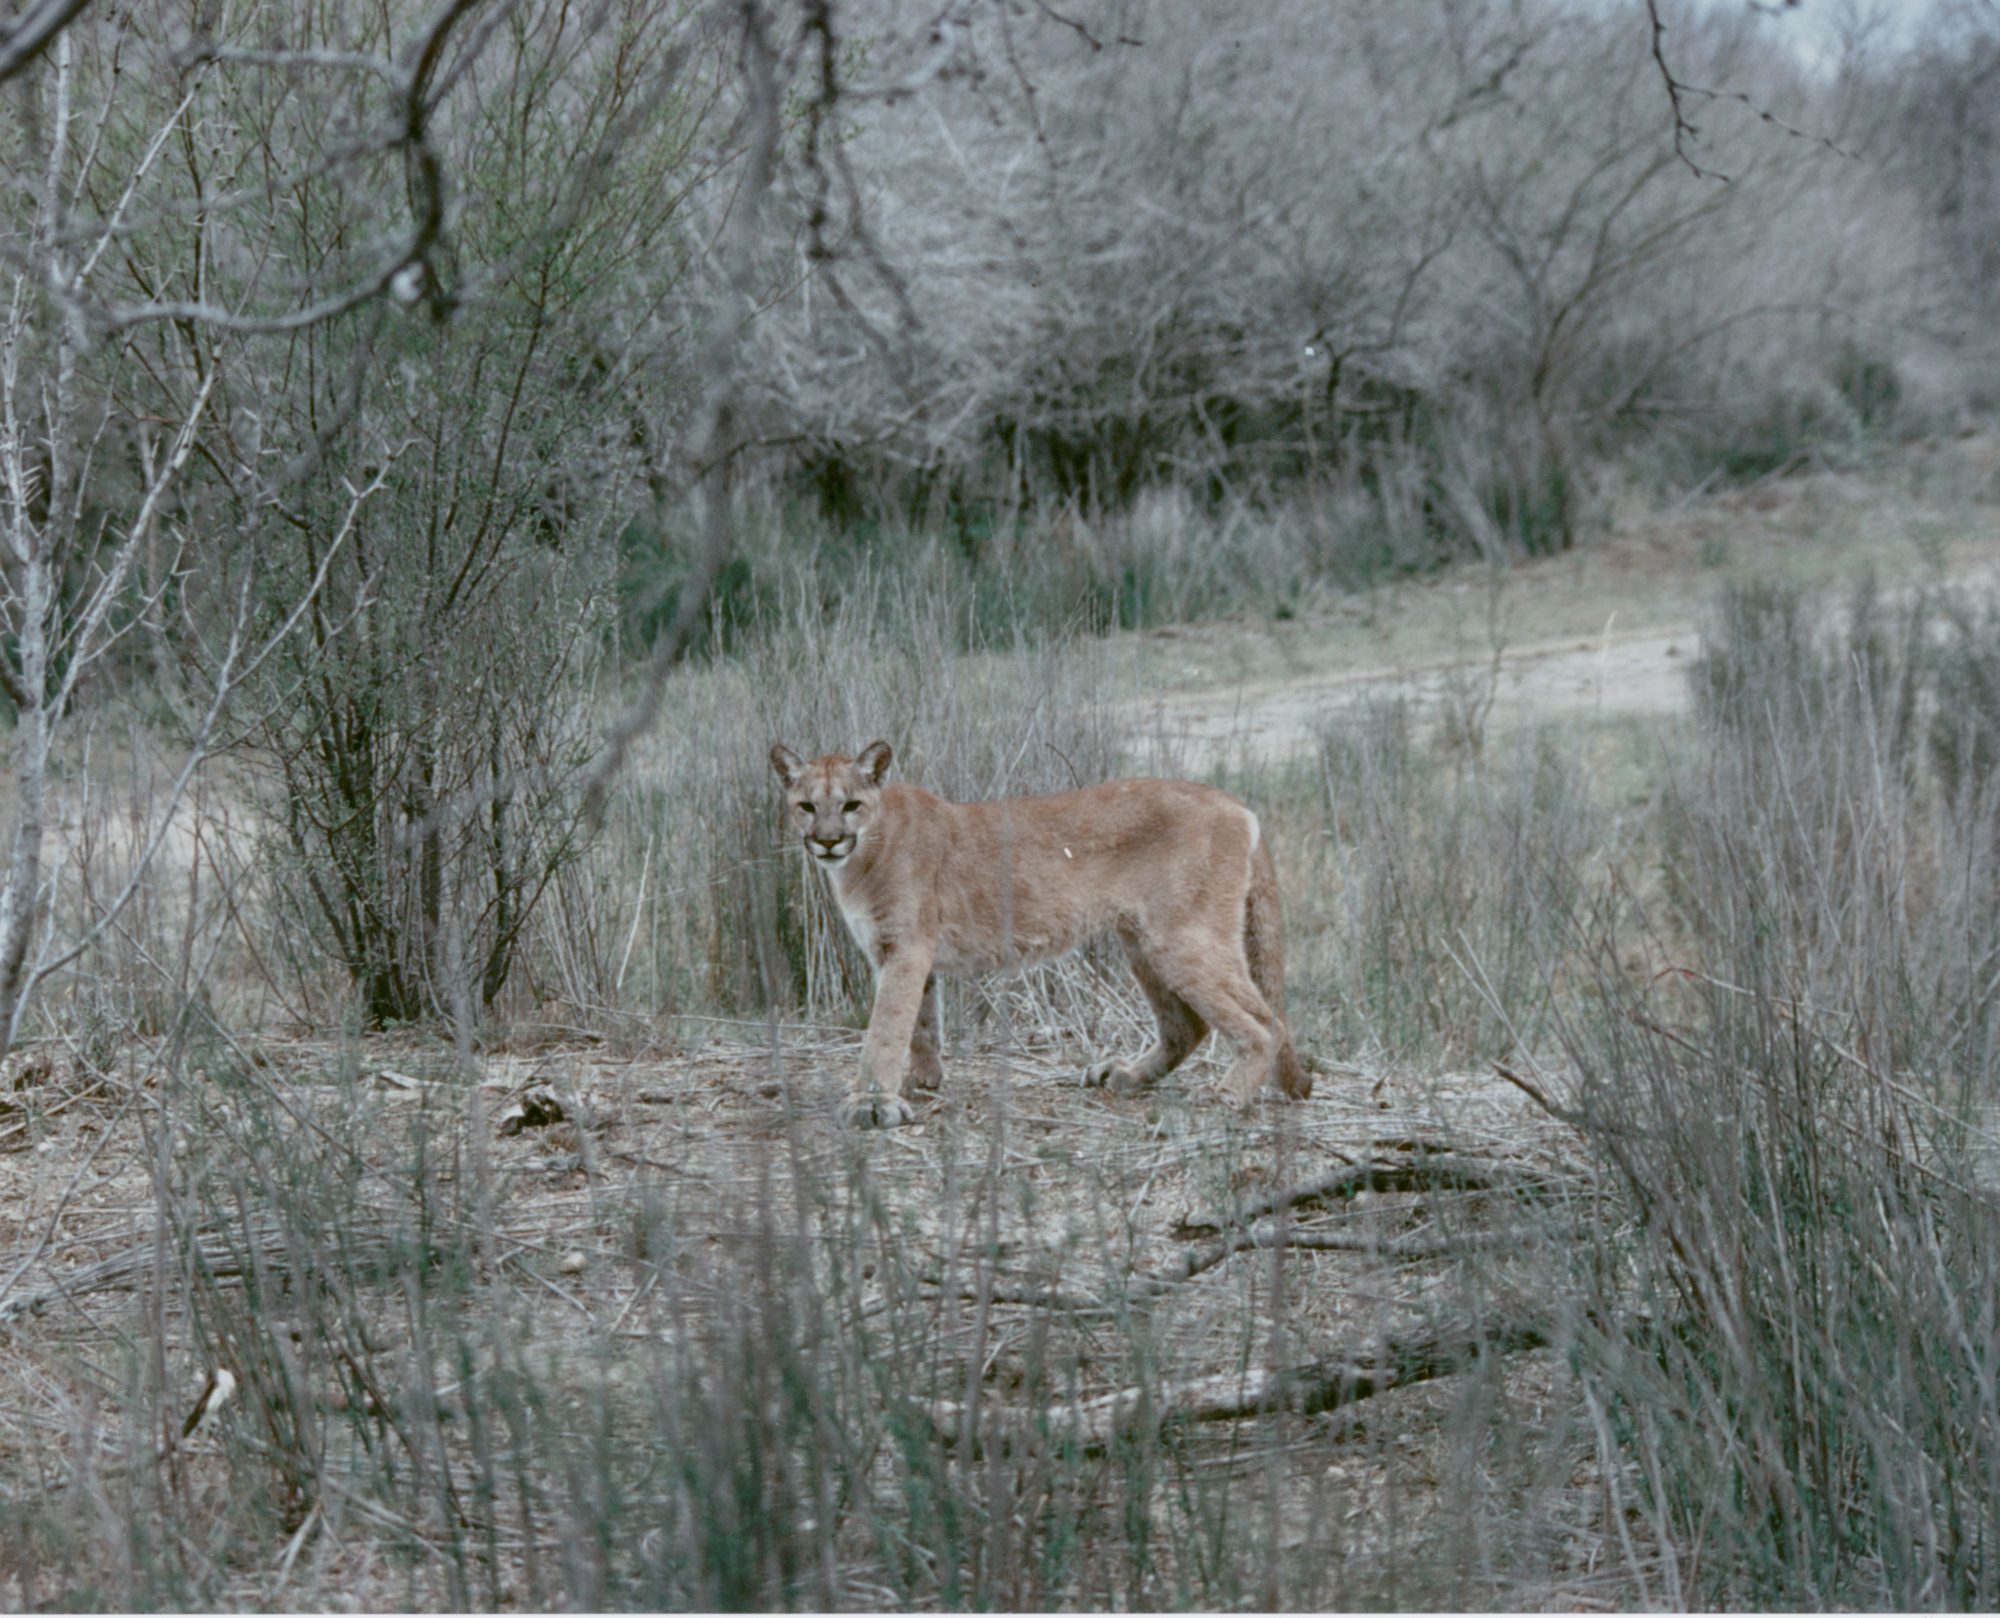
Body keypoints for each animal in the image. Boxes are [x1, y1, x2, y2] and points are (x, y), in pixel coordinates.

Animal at [770, 740, 1310, 1127]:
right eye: (806, 806)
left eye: (851, 805)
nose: (827, 841)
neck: (862, 856)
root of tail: (1235, 802)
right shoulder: (902, 954)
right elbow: (919, 1022)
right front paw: (922, 1081)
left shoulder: (903, 948)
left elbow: (884, 1028)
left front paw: (871, 1105)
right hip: (1141, 941)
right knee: (1188, 1025)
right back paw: (1126, 1075)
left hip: (1182, 939)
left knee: (1265, 1022)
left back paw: (1228, 1094)